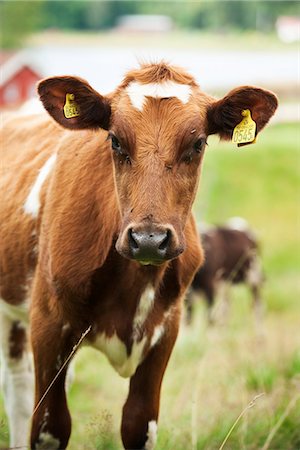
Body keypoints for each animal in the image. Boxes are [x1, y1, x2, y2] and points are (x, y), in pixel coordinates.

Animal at [0, 61, 278, 448]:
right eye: (115, 140)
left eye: (197, 143)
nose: (148, 239)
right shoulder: (48, 325)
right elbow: (49, 426)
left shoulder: (166, 330)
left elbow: (137, 425)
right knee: (18, 387)